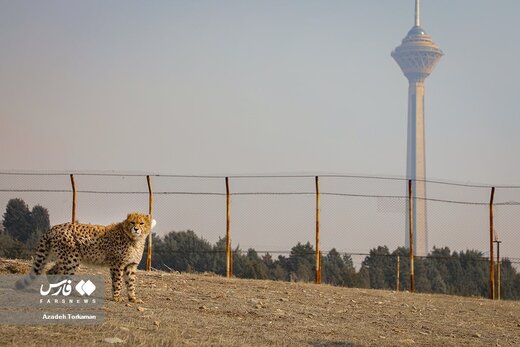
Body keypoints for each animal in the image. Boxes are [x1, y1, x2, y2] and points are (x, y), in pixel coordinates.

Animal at [15, 213, 155, 304]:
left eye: (141, 223)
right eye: (132, 222)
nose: (136, 229)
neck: (134, 239)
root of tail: (54, 228)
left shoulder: (130, 266)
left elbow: (131, 283)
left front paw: (133, 298)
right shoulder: (117, 265)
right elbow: (118, 282)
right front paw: (116, 297)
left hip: (66, 258)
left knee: (51, 271)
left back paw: (56, 290)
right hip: (71, 259)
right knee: (62, 275)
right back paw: (65, 293)